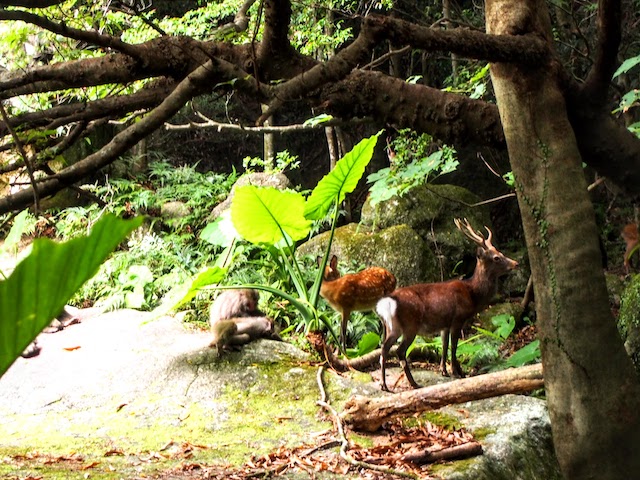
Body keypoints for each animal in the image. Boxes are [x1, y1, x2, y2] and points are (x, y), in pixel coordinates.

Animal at [376, 219, 520, 392]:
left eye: (500, 252)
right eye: (497, 257)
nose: (516, 263)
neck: (473, 294)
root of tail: (386, 303)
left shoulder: (444, 324)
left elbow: (444, 346)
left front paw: (443, 370)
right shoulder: (458, 319)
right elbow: (454, 346)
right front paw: (457, 372)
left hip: (391, 326)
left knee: (384, 348)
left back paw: (384, 384)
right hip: (410, 325)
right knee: (399, 351)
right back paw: (414, 383)